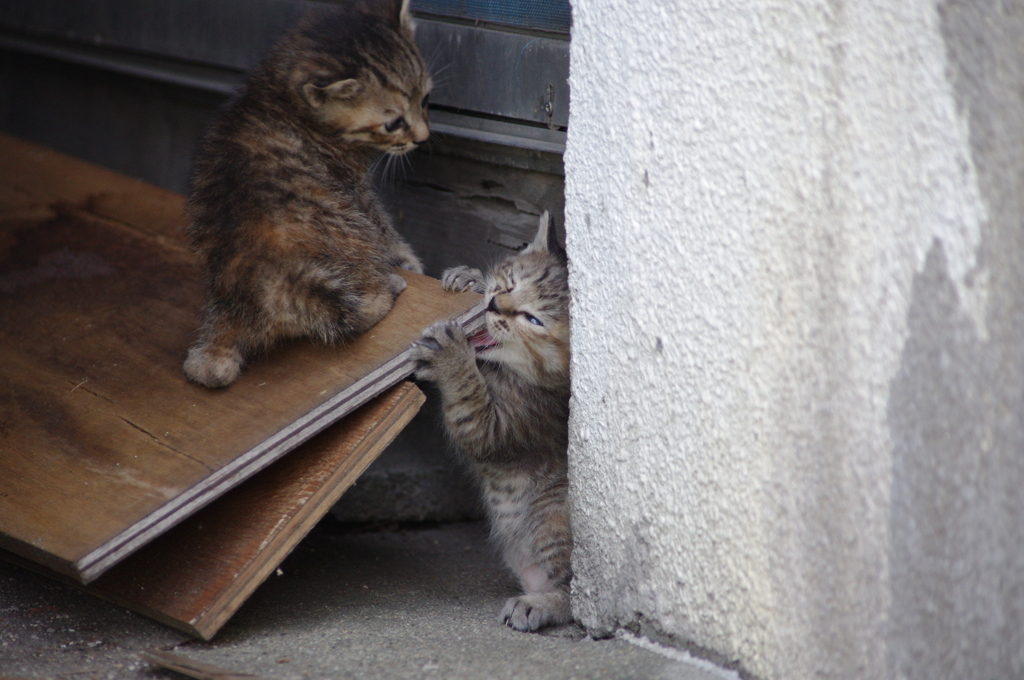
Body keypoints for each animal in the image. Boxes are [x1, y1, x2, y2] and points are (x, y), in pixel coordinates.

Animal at [184, 0, 428, 387]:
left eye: (426, 100)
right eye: (393, 123)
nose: (423, 137)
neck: (278, 94)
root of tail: (264, 282)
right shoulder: (351, 185)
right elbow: (382, 224)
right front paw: (406, 257)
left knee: (205, 367)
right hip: (348, 237)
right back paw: (387, 287)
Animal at [415, 213, 577, 630]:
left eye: (532, 318)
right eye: (511, 282)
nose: (494, 302)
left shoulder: (497, 428)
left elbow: (470, 404)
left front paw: (452, 358)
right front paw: (469, 279)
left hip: (553, 512)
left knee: (576, 591)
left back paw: (540, 604)